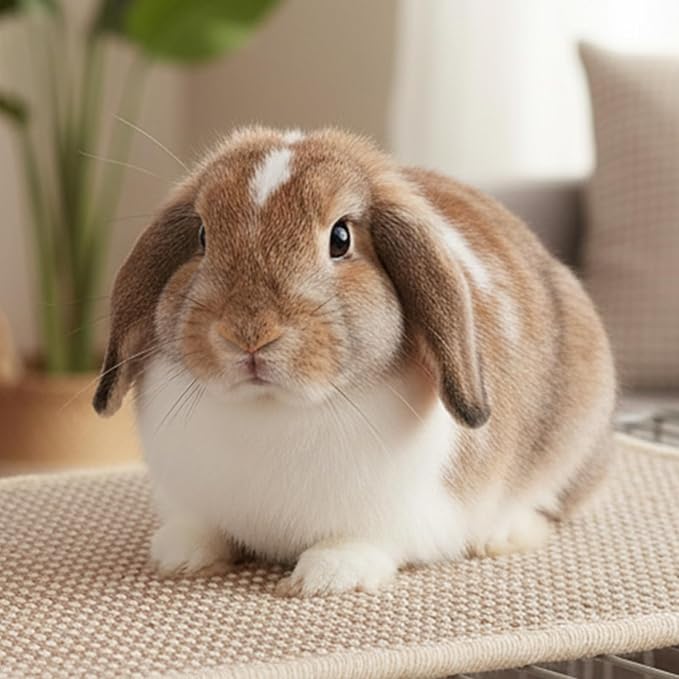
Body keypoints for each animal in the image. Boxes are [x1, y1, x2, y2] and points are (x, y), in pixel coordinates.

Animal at [94, 127, 616, 597]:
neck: (272, 409)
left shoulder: (396, 516)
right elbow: (202, 528)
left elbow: (359, 543)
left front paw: (325, 577)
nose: (249, 333)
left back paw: (503, 534)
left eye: (341, 238)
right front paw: (180, 556)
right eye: (202, 236)